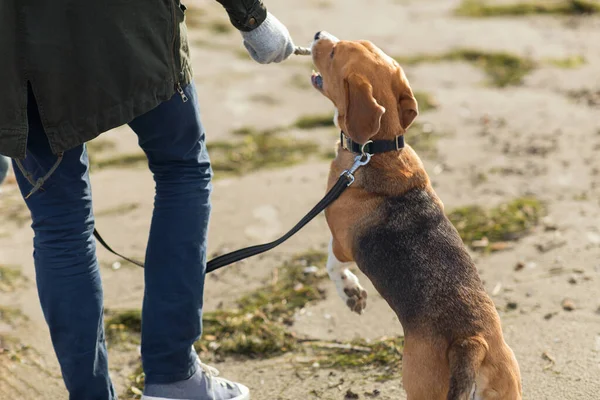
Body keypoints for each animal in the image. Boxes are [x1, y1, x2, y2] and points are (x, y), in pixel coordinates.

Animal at [310, 32, 520, 400]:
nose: (319, 35)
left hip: (419, 383)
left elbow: (332, 266)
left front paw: (350, 293)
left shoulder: (341, 242)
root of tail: (472, 342)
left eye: (334, 53)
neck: (378, 151)